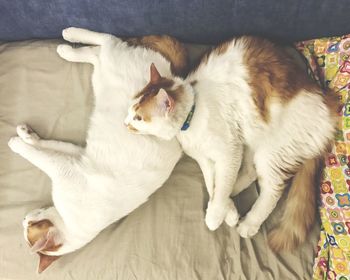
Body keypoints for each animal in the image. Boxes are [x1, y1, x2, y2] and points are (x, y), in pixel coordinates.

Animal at [7, 27, 189, 272]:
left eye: (30, 225)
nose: (22, 219)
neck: (69, 225)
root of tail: (172, 76)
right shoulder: (77, 154)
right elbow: (49, 145)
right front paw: (27, 135)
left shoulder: (66, 168)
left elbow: (41, 157)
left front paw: (17, 143)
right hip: (103, 73)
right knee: (98, 51)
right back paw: (69, 45)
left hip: (113, 64)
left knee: (108, 42)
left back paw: (68, 41)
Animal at [124, 35, 338, 252]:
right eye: (130, 109)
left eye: (139, 117)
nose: (125, 123)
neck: (192, 113)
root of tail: (329, 106)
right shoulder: (206, 159)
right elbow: (213, 184)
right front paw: (229, 210)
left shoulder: (228, 151)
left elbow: (221, 185)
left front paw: (215, 216)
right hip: (252, 141)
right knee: (251, 172)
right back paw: (235, 190)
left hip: (273, 150)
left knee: (272, 189)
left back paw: (249, 224)